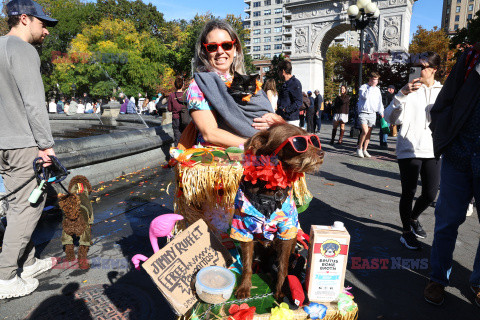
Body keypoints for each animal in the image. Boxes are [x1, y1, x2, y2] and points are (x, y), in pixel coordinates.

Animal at [231, 124, 324, 302]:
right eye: (298, 143)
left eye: (312, 139)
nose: (322, 153)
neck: (268, 192)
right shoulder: (243, 230)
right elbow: (246, 264)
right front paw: (244, 287)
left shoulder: (286, 232)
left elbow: (283, 267)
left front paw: (281, 290)